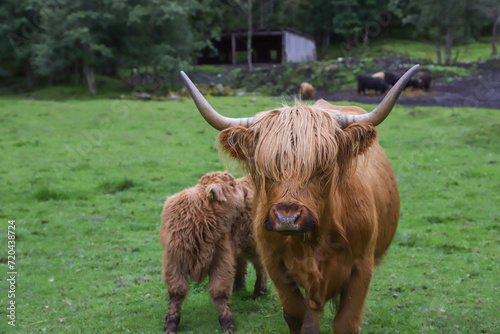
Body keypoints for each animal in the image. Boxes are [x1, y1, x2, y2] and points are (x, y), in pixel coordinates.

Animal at [161, 172, 268, 334]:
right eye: (232, 185)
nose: (244, 191)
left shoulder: (221, 259)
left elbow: (219, 291)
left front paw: (227, 322)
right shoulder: (174, 262)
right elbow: (176, 292)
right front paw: (171, 323)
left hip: (254, 244)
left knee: (260, 266)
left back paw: (259, 292)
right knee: (241, 263)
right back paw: (239, 287)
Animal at [182, 64, 420, 332]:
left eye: (323, 166)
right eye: (265, 168)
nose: (287, 216)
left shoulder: (362, 266)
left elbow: (346, 321)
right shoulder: (275, 263)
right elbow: (297, 314)